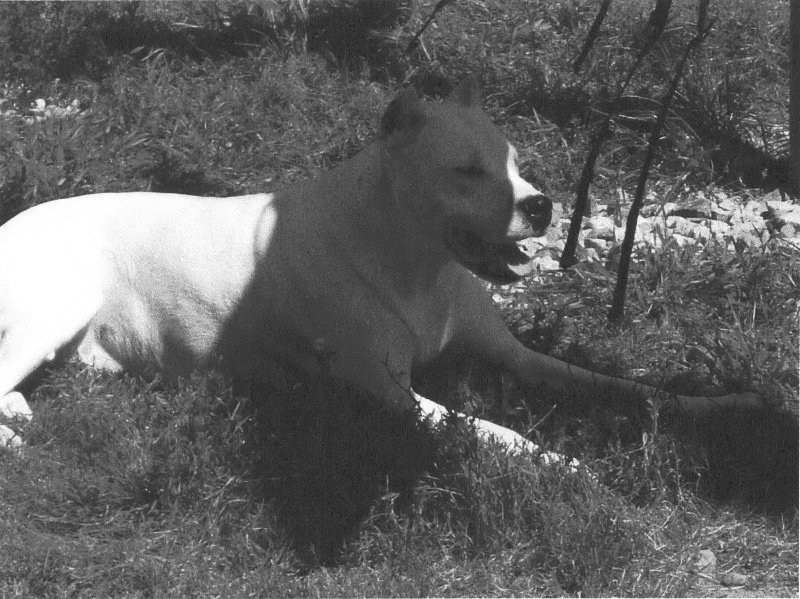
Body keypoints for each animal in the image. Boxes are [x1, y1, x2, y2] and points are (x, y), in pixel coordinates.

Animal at [0, 81, 764, 454]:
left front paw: (720, 405)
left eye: (517, 164)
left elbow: (613, 384)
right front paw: (566, 464)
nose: (543, 205)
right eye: (467, 171)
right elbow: (496, 430)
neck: (418, 265)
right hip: (56, 303)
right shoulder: (391, 395)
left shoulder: (515, 355)